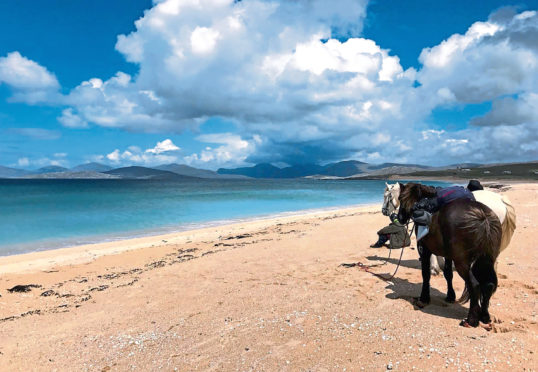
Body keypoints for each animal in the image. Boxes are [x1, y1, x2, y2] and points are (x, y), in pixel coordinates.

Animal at [396, 182, 500, 326]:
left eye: (400, 198)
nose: (399, 218)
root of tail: (482, 217)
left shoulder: (424, 250)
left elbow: (426, 274)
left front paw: (424, 298)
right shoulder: (448, 255)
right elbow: (448, 274)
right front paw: (450, 296)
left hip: (462, 263)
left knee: (474, 285)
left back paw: (472, 319)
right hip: (486, 261)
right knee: (488, 285)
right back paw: (484, 316)